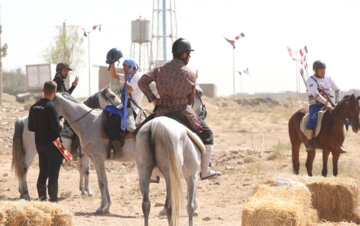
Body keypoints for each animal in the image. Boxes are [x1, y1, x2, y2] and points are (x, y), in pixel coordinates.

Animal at [51, 92, 202, 224]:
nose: (201, 110)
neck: (89, 122)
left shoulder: (97, 158)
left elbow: (101, 182)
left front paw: (101, 207)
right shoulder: (97, 159)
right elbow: (104, 181)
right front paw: (107, 206)